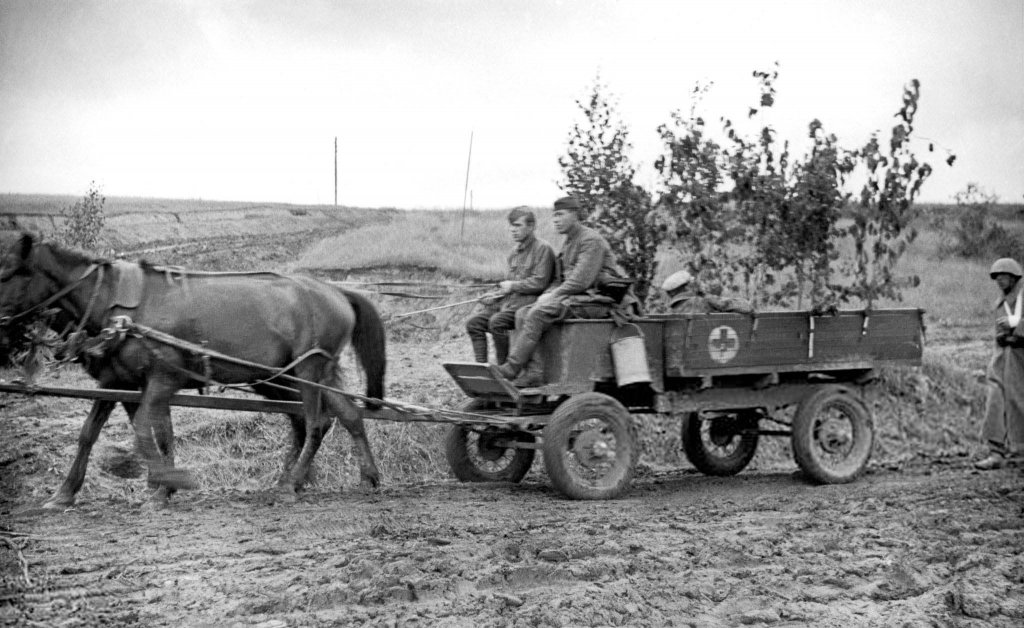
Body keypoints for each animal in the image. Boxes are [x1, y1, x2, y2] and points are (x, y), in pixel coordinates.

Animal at [0, 232, 385, 506]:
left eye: (8, 272)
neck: (117, 307)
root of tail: (336, 291)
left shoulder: (162, 378)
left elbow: (145, 431)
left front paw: (170, 483)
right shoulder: (121, 382)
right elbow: (105, 434)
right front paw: (67, 493)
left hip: (307, 370)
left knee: (316, 422)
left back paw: (291, 483)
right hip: (318, 373)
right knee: (348, 416)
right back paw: (367, 476)